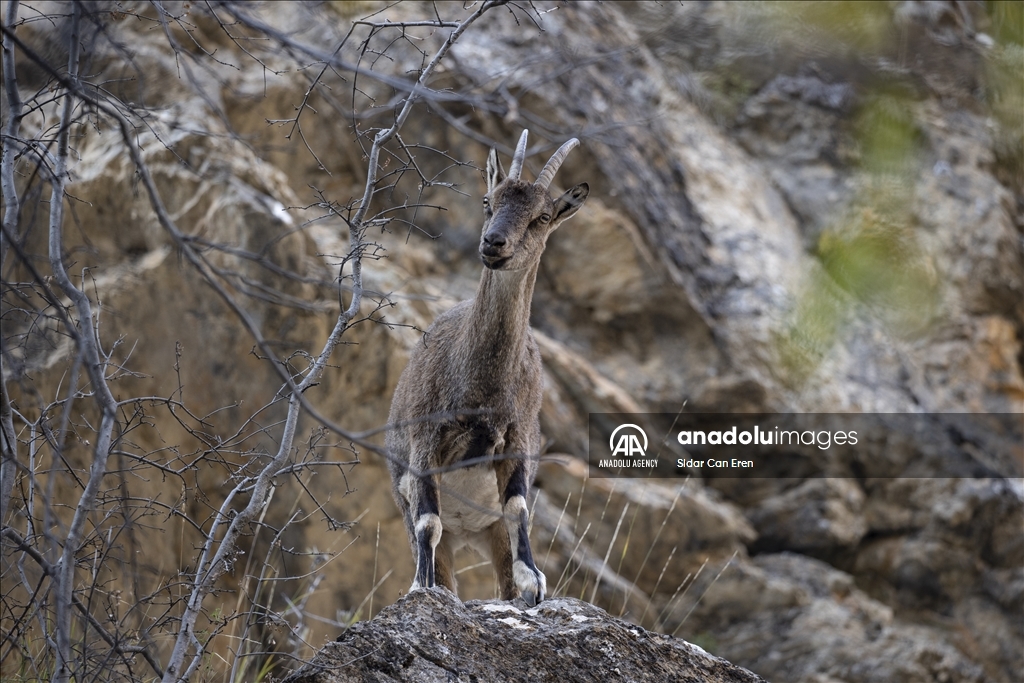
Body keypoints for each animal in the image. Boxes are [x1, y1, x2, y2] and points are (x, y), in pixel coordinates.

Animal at [385, 131, 593, 606]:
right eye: (487, 201)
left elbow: (518, 509)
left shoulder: (516, 440)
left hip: (490, 531)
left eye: (542, 217)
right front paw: (420, 586)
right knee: (434, 541)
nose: (493, 243)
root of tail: (467, 533)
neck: (481, 387)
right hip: (408, 502)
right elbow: (429, 523)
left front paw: (533, 582)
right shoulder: (425, 442)